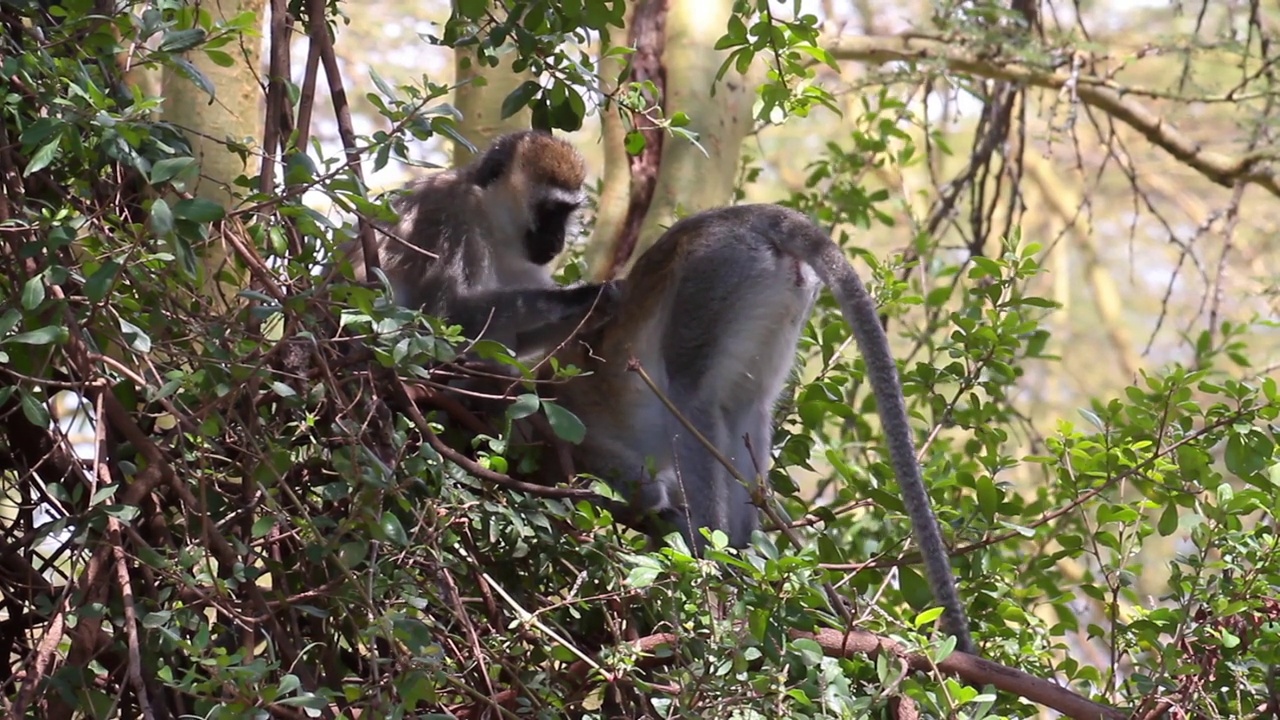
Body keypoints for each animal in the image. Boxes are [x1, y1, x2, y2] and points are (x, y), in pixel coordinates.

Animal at [340, 128, 619, 358]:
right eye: (550, 211)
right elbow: (448, 315)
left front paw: (595, 313)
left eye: (567, 212)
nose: (558, 238)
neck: (491, 220)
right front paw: (583, 295)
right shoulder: (452, 218)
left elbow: (519, 341)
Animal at [555, 203, 972, 655]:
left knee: (689, 395)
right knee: (747, 408)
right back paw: (741, 558)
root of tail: (748, 216)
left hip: (713, 277)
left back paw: (708, 556)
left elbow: (626, 478)